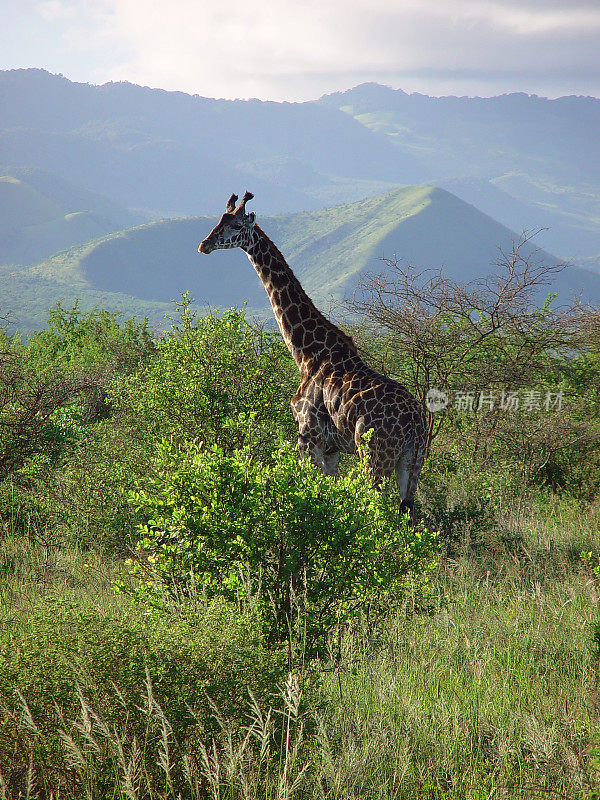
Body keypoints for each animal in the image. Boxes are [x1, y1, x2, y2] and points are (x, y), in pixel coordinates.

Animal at [198, 192, 426, 520]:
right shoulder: (331, 449)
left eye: (236, 225)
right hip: (413, 461)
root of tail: (415, 423)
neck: (307, 354)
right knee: (408, 514)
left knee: (378, 510)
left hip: (374, 456)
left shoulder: (308, 437)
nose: (204, 244)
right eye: (219, 220)